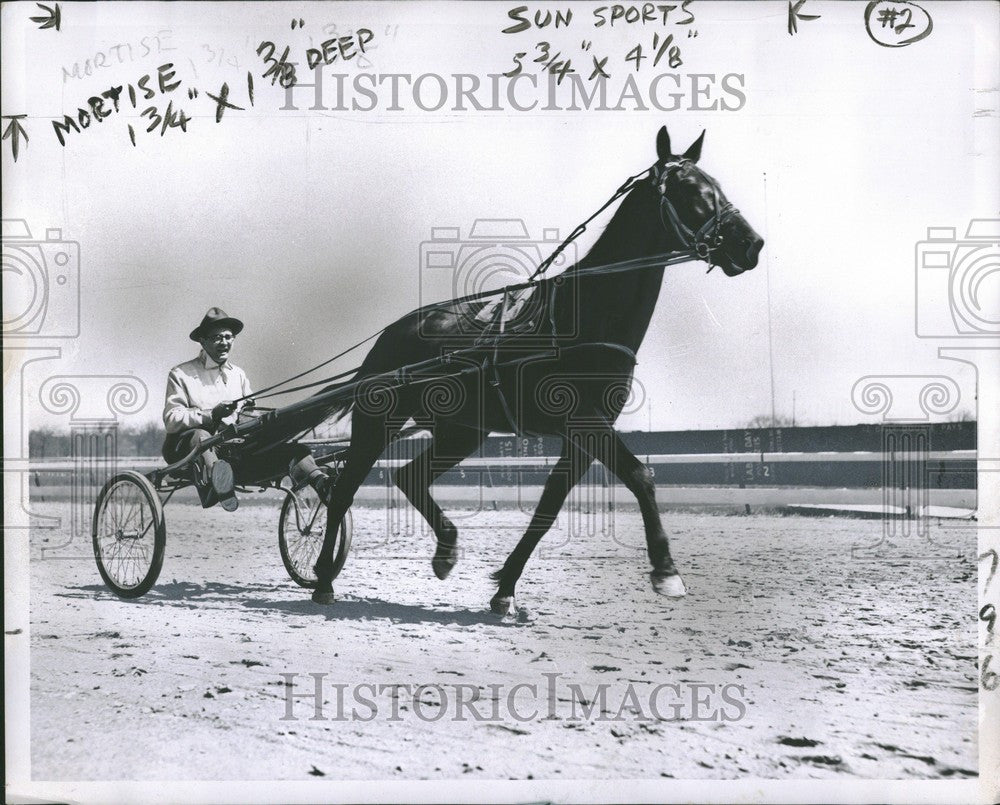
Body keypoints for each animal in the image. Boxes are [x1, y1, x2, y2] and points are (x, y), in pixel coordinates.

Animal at [312, 127, 764, 608]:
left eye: (718, 186)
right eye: (692, 189)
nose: (752, 244)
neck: (586, 316)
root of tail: (392, 332)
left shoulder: (585, 430)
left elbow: (549, 507)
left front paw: (505, 589)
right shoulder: (583, 419)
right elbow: (641, 476)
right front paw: (666, 571)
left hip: (462, 430)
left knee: (409, 477)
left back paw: (445, 550)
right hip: (379, 420)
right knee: (343, 491)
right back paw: (322, 580)